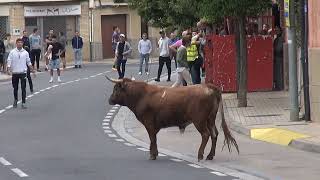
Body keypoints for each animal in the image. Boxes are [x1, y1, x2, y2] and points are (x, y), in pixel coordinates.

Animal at [106, 76, 239, 161]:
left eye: (116, 88)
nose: (110, 100)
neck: (141, 95)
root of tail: (209, 86)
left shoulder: (149, 123)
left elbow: (152, 138)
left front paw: (152, 155)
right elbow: (153, 139)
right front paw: (154, 153)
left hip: (199, 120)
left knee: (206, 134)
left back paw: (200, 155)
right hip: (210, 119)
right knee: (214, 134)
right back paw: (210, 156)